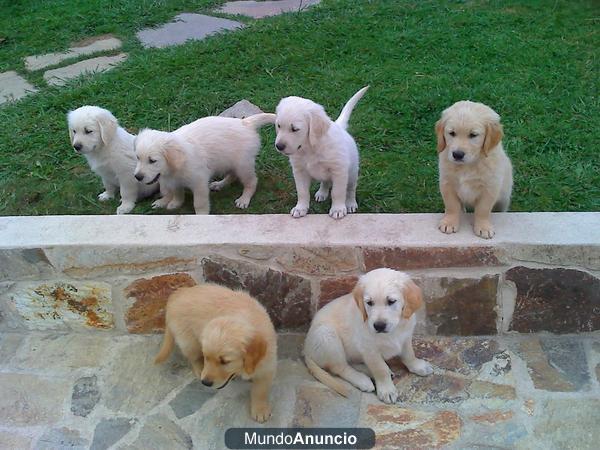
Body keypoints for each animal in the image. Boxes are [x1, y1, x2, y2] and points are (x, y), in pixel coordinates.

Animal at [133, 113, 274, 214]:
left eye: (152, 161)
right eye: (138, 158)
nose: (137, 177)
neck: (175, 167)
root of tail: (245, 122)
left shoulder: (199, 182)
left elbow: (199, 203)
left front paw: (202, 216)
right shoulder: (175, 180)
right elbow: (178, 192)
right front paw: (176, 203)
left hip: (242, 164)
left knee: (252, 181)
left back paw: (244, 199)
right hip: (230, 161)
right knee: (232, 175)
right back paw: (219, 184)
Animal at [274, 86, 368, 220]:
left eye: (295, 129)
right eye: (279, 126)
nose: (279, 146)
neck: (310, 148)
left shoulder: (339, 170)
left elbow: (338, 192)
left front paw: (338, 209)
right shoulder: (299, 171)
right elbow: (302, 192)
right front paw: (300, 208)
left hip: (352, 172)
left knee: (350, 189)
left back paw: (350, 203)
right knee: (325, 182)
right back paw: (322, 193)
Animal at [304, 268, 432, 404]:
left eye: (391, 301)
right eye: (369, 303)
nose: (379, 326)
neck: (394, 330)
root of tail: (306, 350)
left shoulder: (405, 338)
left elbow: (409, 355)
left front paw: (418, 366)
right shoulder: (369, 349)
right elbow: (380, 369)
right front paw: (387, 390)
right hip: (326, 334)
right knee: (340, 367)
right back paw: (362, 380)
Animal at [434, 99, 512, 239]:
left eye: (473, 135)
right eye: (452, 133)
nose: (457, 154)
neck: (469, 165)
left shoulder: (490, 187)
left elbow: (483, 209)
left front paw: (483, 227)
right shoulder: (447, 183)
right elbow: (452, 205)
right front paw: (449, 222)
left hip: (504, 197)